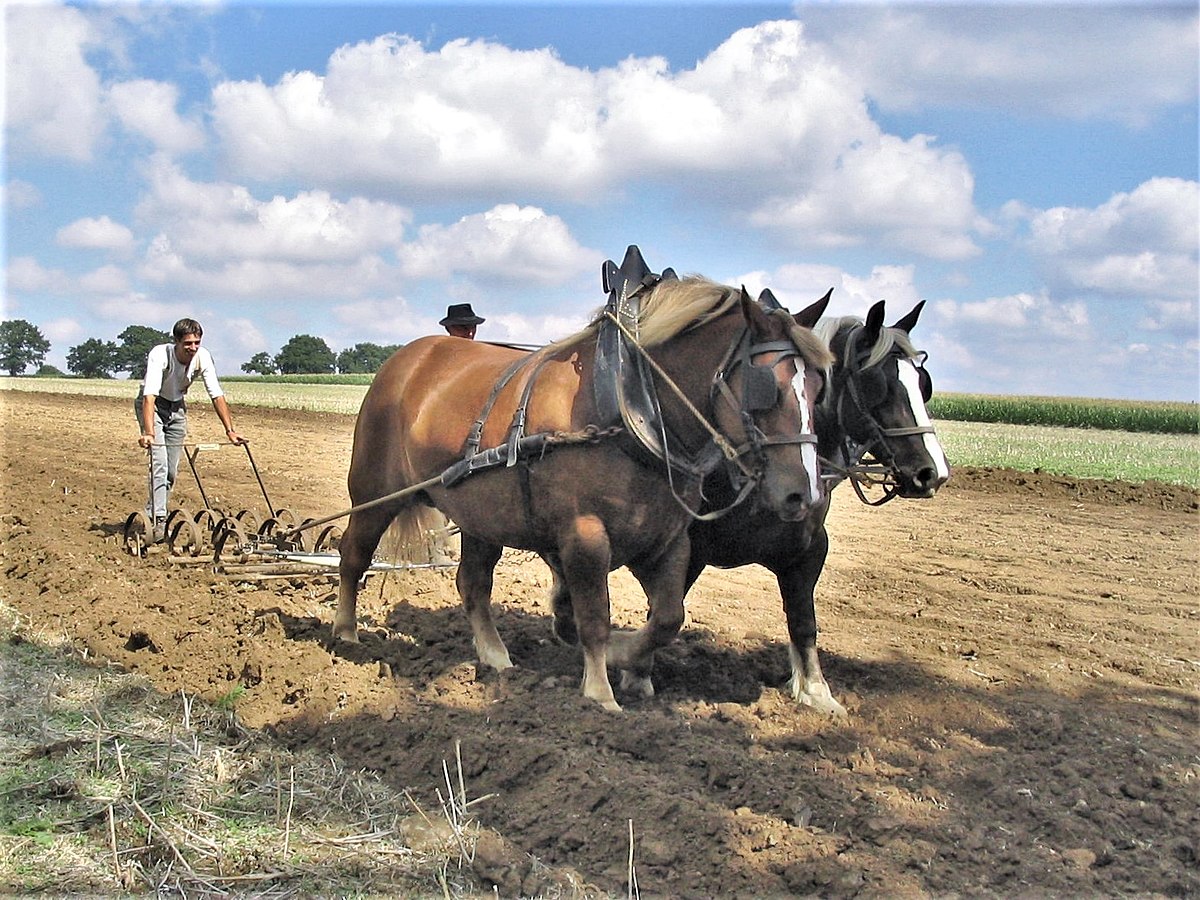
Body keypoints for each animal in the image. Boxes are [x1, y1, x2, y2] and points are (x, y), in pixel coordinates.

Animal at [333, 278, 830, 715]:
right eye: (768, 386)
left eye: (818, 387)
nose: (802, 494)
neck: (632, 405)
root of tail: (405, 359)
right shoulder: (584, 536)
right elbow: (595, 617)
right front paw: (600, 690)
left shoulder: (670, 539)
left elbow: (668, 617)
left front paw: (622, 654)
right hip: (375, 492)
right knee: (353, 555)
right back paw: (345, 635)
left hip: (480, 516)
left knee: (472, 583)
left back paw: (495, 657)